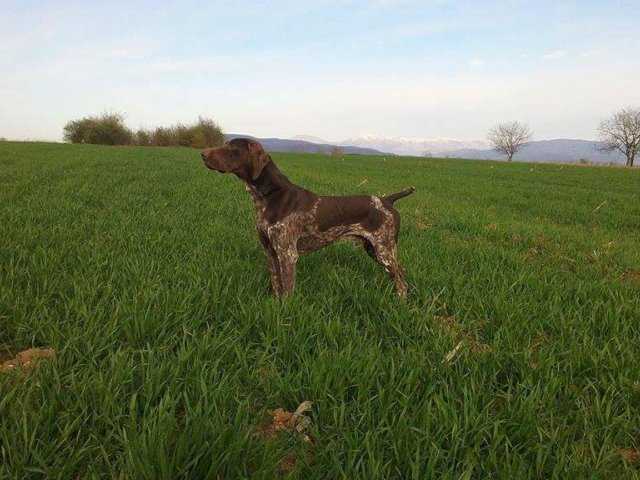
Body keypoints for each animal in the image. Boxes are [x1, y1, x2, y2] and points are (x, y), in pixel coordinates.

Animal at [202, 137, 418, 298]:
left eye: (231, 148)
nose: (202, 154)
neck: (270, 195)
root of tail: (387, 200)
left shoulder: (287, 254)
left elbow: (287, 291)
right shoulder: (270, 252)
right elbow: (276, 285)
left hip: (383, 250)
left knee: (401, 281)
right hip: (376, 249)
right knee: (401, 273)